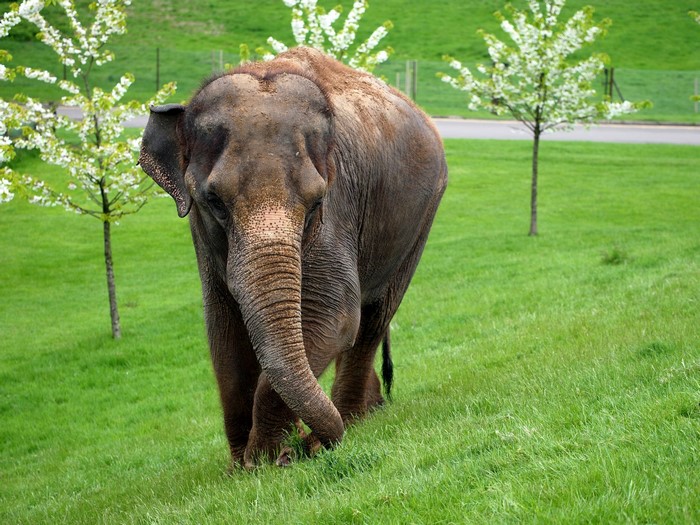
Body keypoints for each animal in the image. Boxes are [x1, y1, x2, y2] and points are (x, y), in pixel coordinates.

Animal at [139, 46, 447, 468]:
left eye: (317, 202)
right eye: (213, 201)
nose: (303, 444)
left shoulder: (339, 207)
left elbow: (334, 315)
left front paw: (269, 459)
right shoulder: (201, 235)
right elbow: (223, 331)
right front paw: (242, 467)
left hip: (421, 219)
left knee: (372, 319)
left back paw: (353, 419)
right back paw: (365, 414)